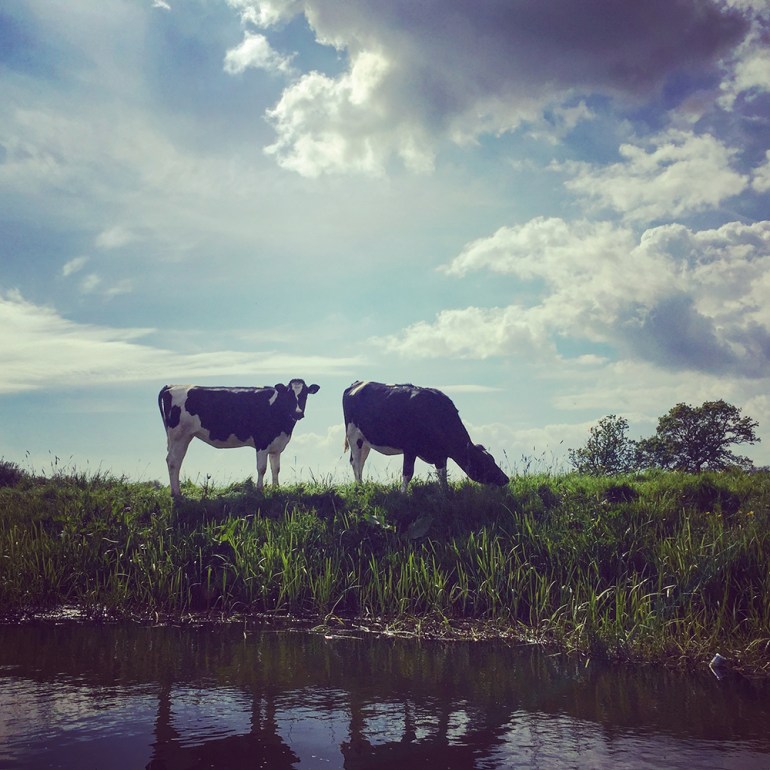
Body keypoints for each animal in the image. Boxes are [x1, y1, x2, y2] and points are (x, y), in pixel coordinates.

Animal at [158, 379, 319, 497]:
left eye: (305, 394)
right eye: (289, 394)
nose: (298, 413)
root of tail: (172, 386)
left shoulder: (276, 445)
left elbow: (276, 468)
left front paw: (276, 489)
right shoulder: (262, 441)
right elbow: (262, 468)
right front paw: (260, 490)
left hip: (183, 437)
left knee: (176, 461)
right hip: (179, 436)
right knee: (173, 461)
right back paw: (176, 493)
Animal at [342, 380, 508, 492]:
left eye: (492, 459)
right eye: (484, 462)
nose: (505, 479)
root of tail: (357, 383)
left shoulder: (440, 454)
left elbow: (442, 474)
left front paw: (445, 493)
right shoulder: (410, 447)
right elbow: (408, 473)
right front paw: (403, 495)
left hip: (365, 441)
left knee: (361, 462)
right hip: (353, 435)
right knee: (355, 462)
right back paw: (360, 488)